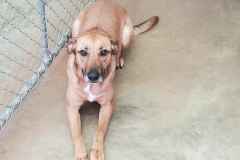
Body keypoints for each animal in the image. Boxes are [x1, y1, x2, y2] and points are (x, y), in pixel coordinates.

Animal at [66, 0, 159, 160]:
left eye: (104, 52)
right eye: (83, 52)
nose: (93, 76)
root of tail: (107, 1)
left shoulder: (107, 106)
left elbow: (99, 130)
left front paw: (97, 151)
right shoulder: (72, 108)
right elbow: (77, 133)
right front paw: (80, 153)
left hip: (127, 34)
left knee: (120, 47)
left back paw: (119, 60)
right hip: (75, 26)